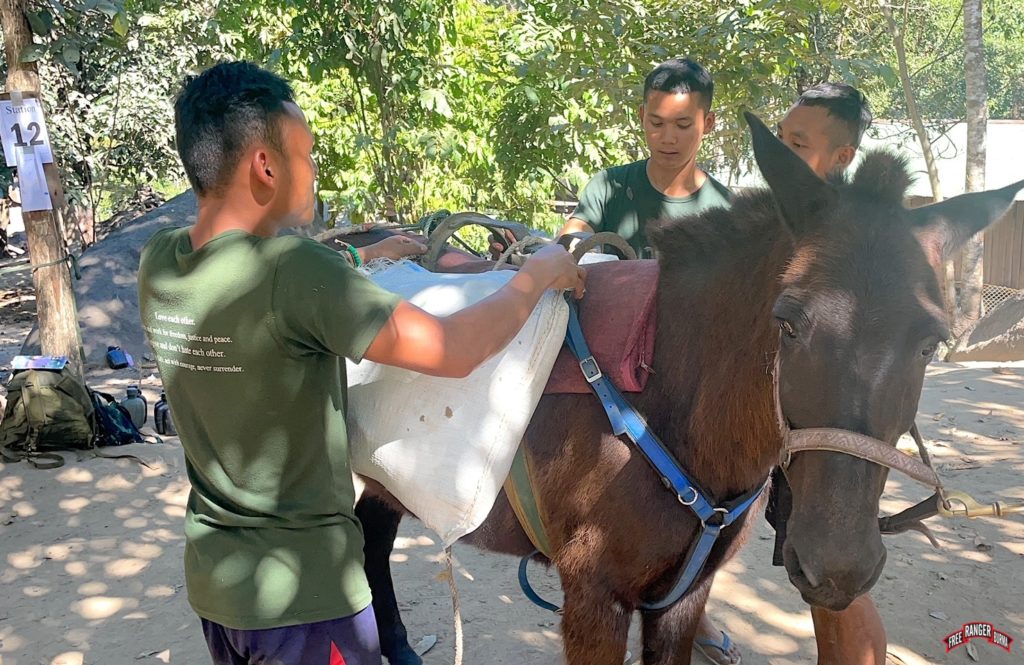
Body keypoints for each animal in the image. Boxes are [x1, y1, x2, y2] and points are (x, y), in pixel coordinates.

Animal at [352, 112, 1024, 665]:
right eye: (789, 322)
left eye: (930, 342)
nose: (838, 565)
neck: (661, 399)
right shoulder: (593, 599)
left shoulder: (683, 597)